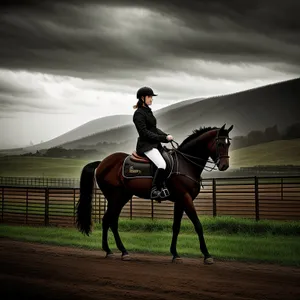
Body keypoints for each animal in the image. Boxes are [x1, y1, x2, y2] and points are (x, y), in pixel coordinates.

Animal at [75, 123, 234, 264]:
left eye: (228, 144)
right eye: (220, 144)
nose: (224, 166)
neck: (186, 163)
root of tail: (102, 162)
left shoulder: (180, 201)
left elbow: (176, 227)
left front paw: (175, 254)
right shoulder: (186, 198)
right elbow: (198, 225)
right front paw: (207, 256)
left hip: (122, 197)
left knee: (111, 221)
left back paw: (117, 251)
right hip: (116, 197)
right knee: (109, 220)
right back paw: (113, 251)